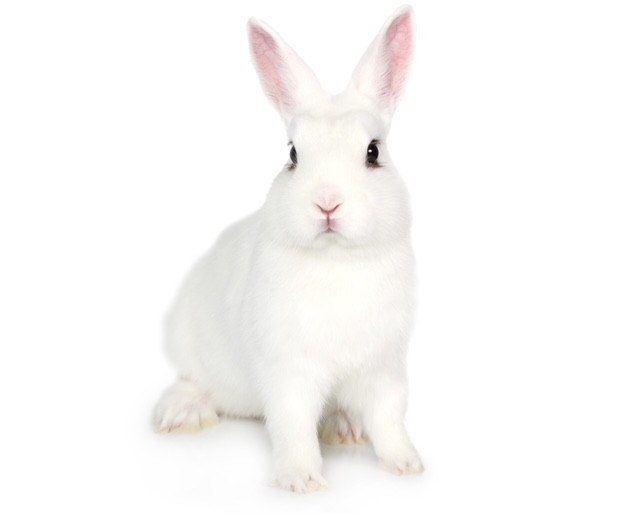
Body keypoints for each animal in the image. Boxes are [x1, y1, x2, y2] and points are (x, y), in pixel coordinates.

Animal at [153, 5, 423, 493]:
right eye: (293, 155)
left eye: (373, 152)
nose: (327, 202)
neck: (337, 261)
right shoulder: (289, 372)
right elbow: (293, 424)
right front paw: (300, 480)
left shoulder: (384, 368)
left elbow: (389, 417)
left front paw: (406, 464)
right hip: (189, 345)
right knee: (194, 381)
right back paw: (181, 414)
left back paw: (346, 427)